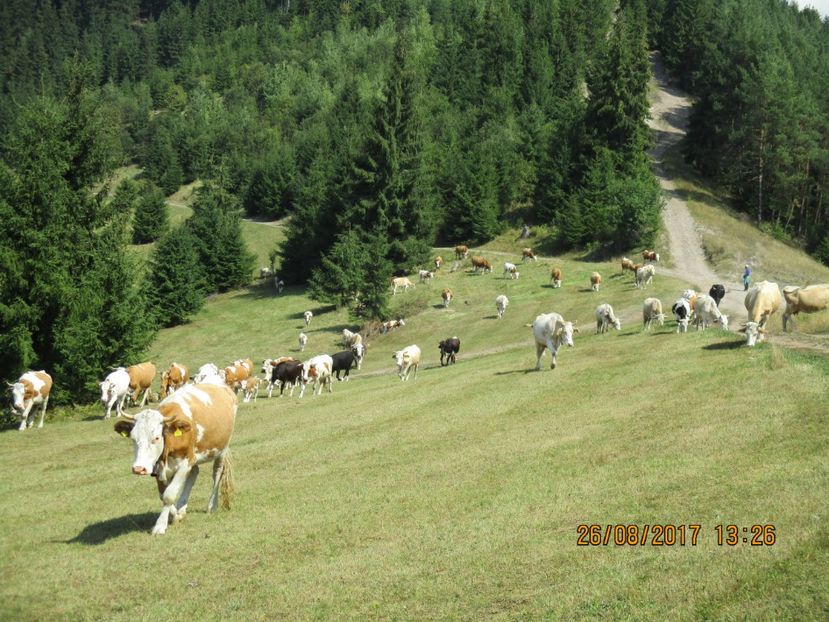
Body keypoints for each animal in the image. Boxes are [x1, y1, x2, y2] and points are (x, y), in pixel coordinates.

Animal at [113, 386, 236, 536]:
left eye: (156, 438)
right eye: (133, 438)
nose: (139, 468)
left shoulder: (186, 462)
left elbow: (169, 495)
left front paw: (160, 525)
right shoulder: (159, 467)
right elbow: (163, 495)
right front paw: (176, 515)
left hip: (221, 449)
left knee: (217, 473)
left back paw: (212, 506)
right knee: (194, 473)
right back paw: (182, 507)